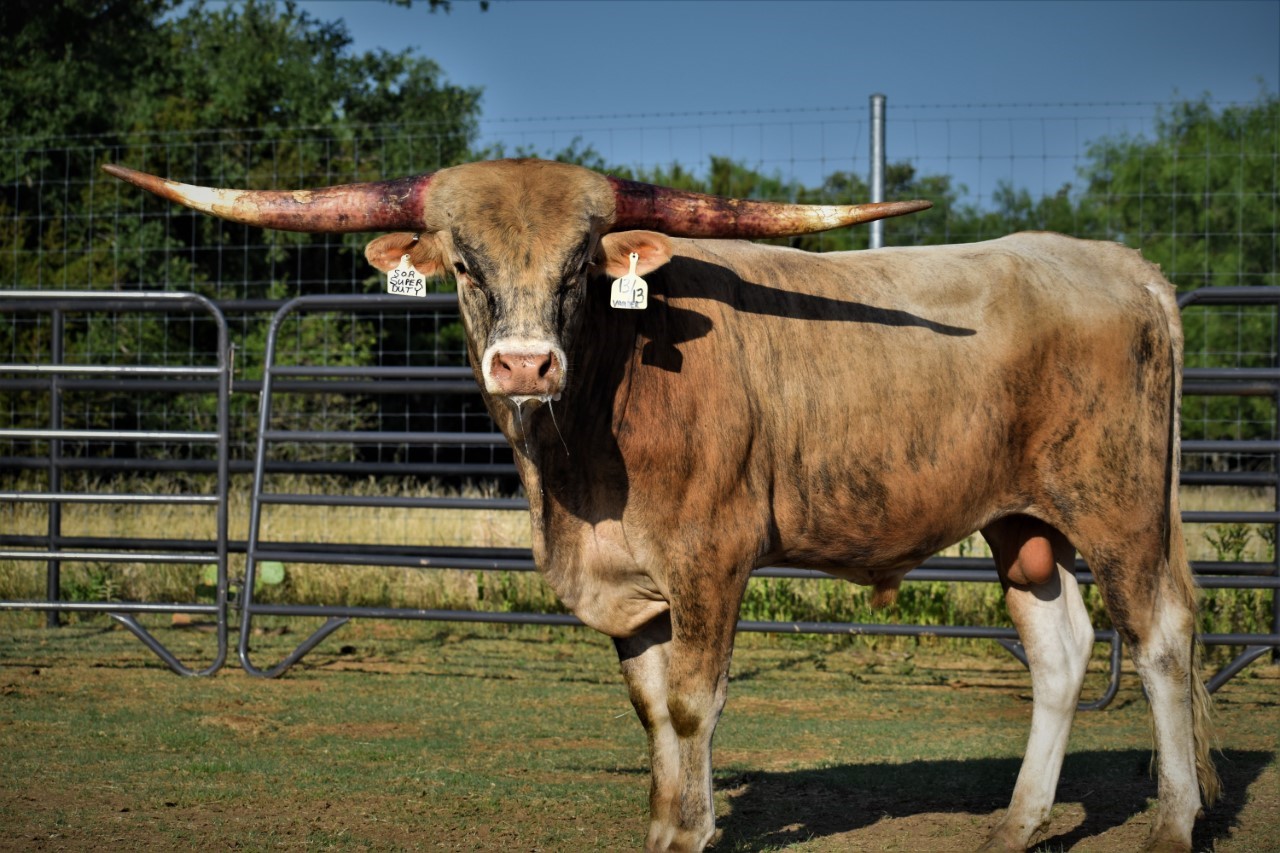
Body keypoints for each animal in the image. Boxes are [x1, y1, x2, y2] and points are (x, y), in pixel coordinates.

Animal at [104, 158, 1217, 852]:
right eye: (461, 262)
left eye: (578, 270)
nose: (523, 364)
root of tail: (1116, 264)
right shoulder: (626, 584)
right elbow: (648, 707)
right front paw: (663, 822)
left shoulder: (710, 559)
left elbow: (691, 701)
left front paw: (692, 827)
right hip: (1019, 518)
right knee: (1060, 651)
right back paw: (1018, 821)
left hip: (1118, 504)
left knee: (1159, 636)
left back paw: (1173, 820)